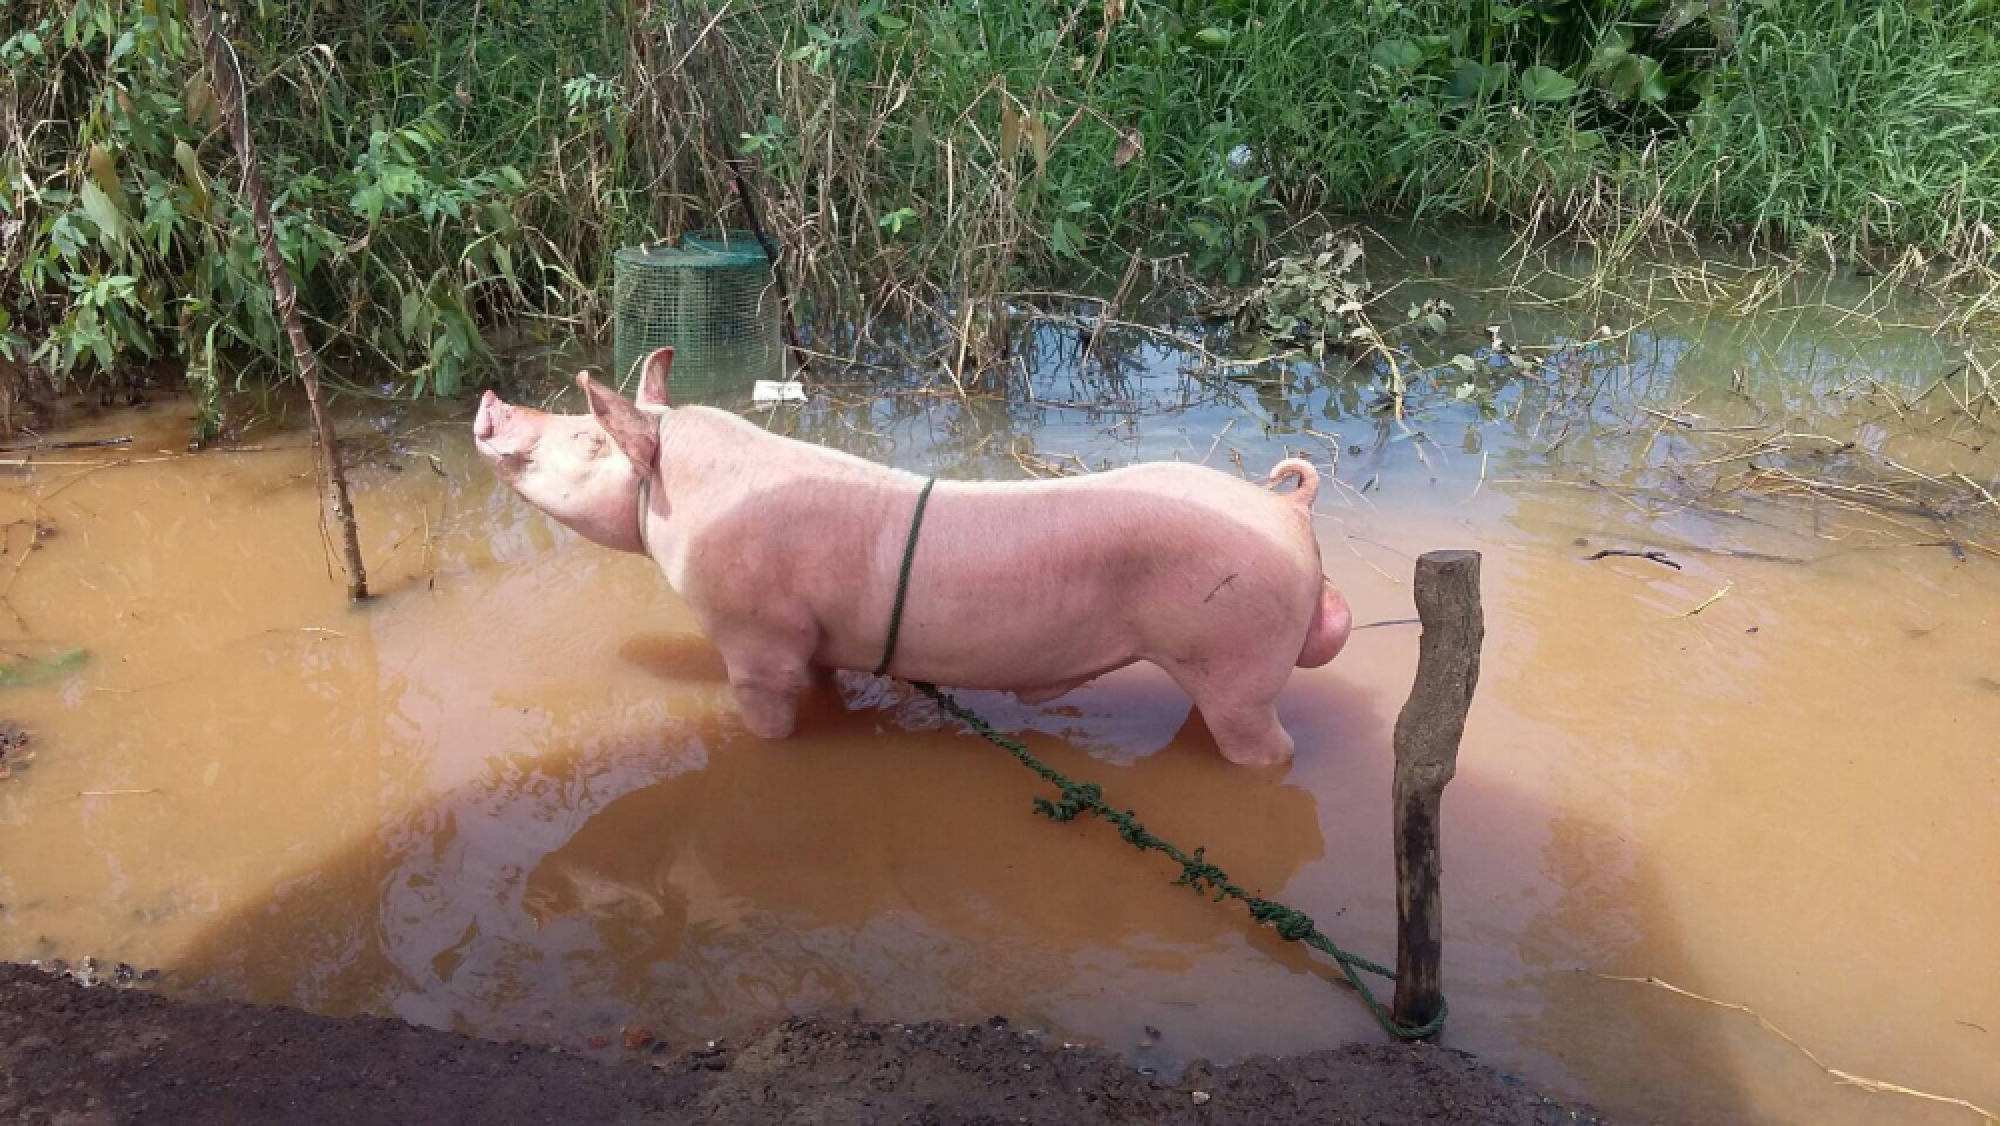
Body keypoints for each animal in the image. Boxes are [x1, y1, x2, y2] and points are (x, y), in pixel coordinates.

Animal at [472, 347, 1352, 765]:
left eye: (588, 438)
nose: (489, 402)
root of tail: (1288, 509)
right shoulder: (811, 637)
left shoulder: (755, 643)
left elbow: (764, 716)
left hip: (1240, 661)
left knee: (1270, 749)